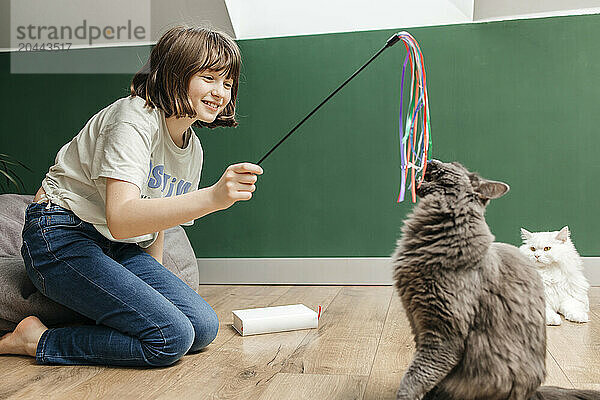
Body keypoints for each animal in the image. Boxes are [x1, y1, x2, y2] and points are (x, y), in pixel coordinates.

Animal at [392, 160, 596, 400]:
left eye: (452, 165)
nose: (432, 161)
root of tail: (534, 392)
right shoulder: (418, 321)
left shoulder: (444, 331)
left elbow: (418, 375)